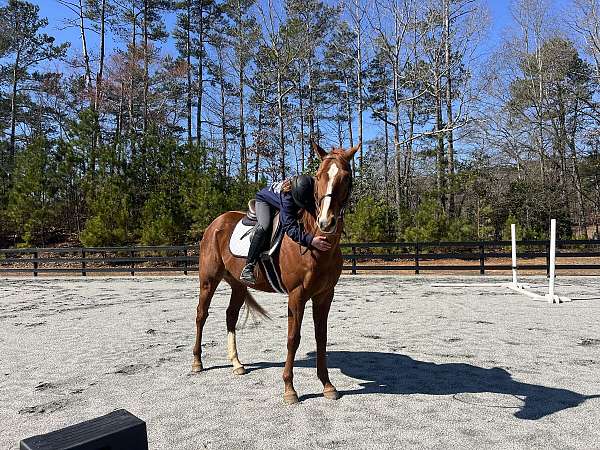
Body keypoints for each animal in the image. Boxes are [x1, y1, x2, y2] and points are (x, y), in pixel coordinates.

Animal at [195, 142, 358, 404]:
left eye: (346, 177)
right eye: (320, 176)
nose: (326, 222)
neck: (314, 243)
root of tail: (215, 223)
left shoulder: (325, 295)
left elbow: (321, 337)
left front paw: (327, 385)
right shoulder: (297, 295)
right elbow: (294, 338)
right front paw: (290, 389)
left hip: (238, 284)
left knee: (230, 316)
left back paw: (237, 363)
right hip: (208, 280)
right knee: (201, 315)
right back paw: (197, 362)